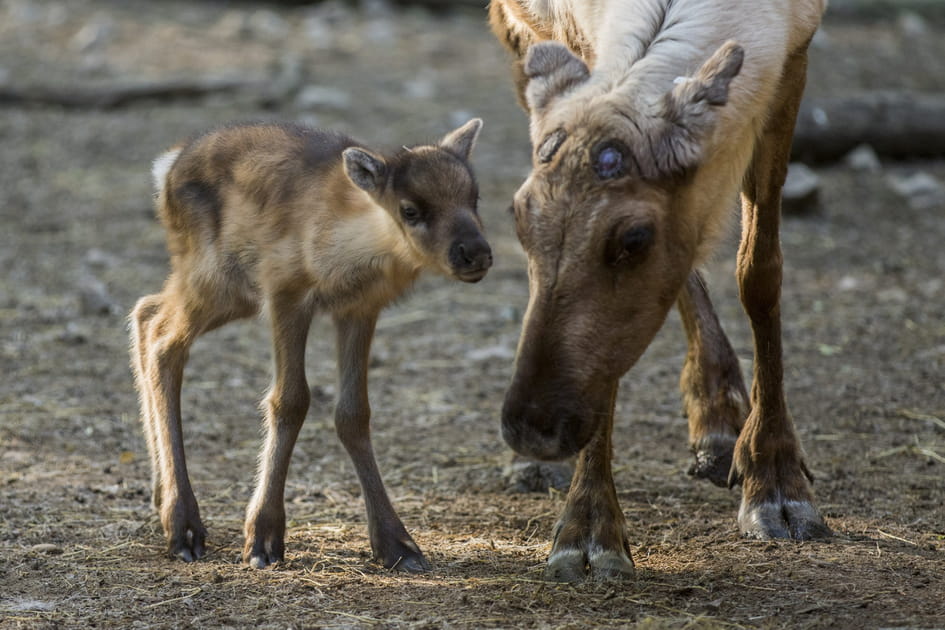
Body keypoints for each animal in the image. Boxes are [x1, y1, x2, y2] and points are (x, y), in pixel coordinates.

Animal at [129, 119, 490, 572]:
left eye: (475, 197)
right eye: (410, 209)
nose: (476, 253)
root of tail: (166, 168)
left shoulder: (360, 308)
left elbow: (353, 413)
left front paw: (397, 545)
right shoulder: (284, 292)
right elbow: (290, 400)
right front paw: (263, 538)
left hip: (226, 292)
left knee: (146, 312)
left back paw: (161, 497)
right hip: (215, 276)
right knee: (163, 338)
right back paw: (184, 526)